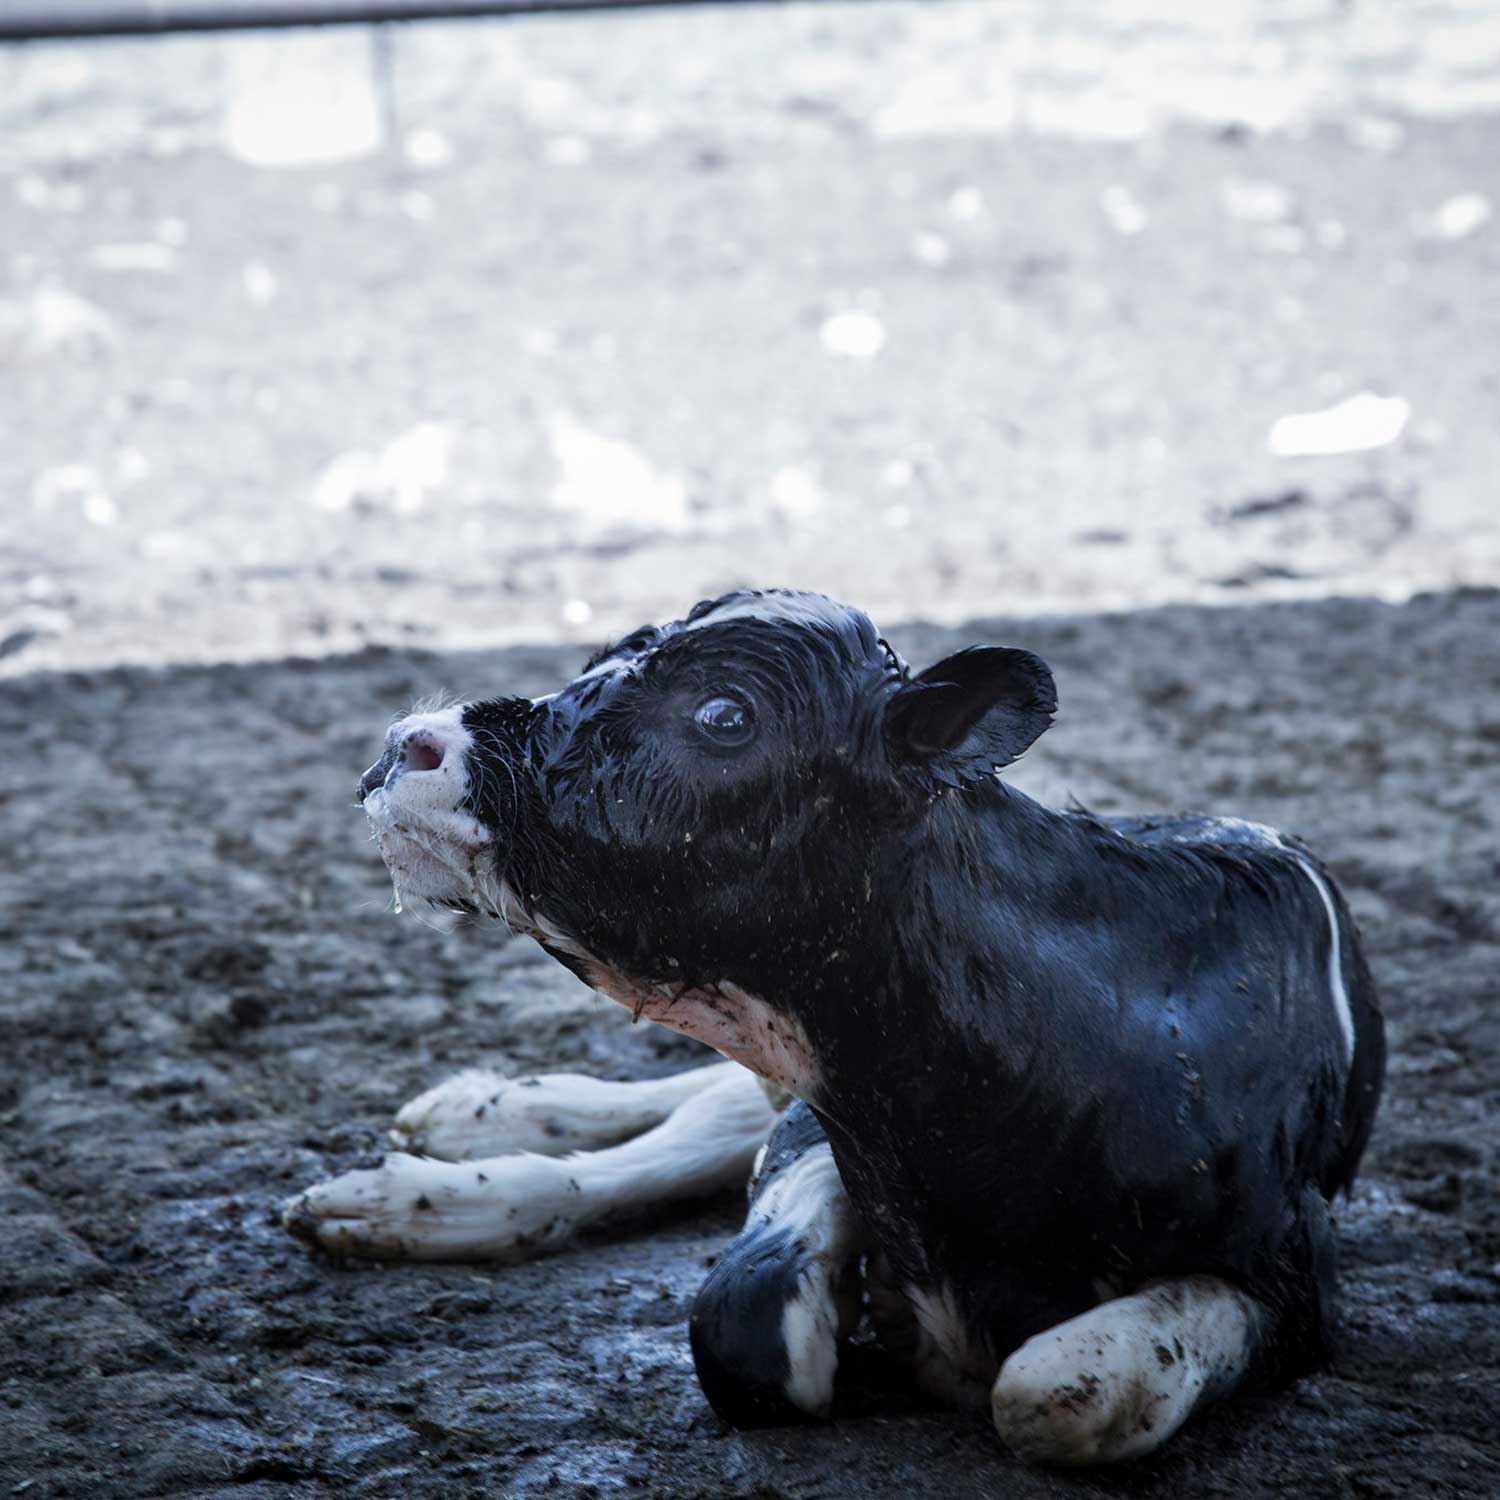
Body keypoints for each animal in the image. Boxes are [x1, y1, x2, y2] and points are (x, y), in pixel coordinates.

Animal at [286, 588, 1386, 1464]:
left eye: (725, 713)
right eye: (604, 654)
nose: (414, 743)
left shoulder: (1295, 1273)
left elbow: (1060, 1391)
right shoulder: (830, 1119)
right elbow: (743, 1318)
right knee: (704, 1120)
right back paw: (454, 1149)